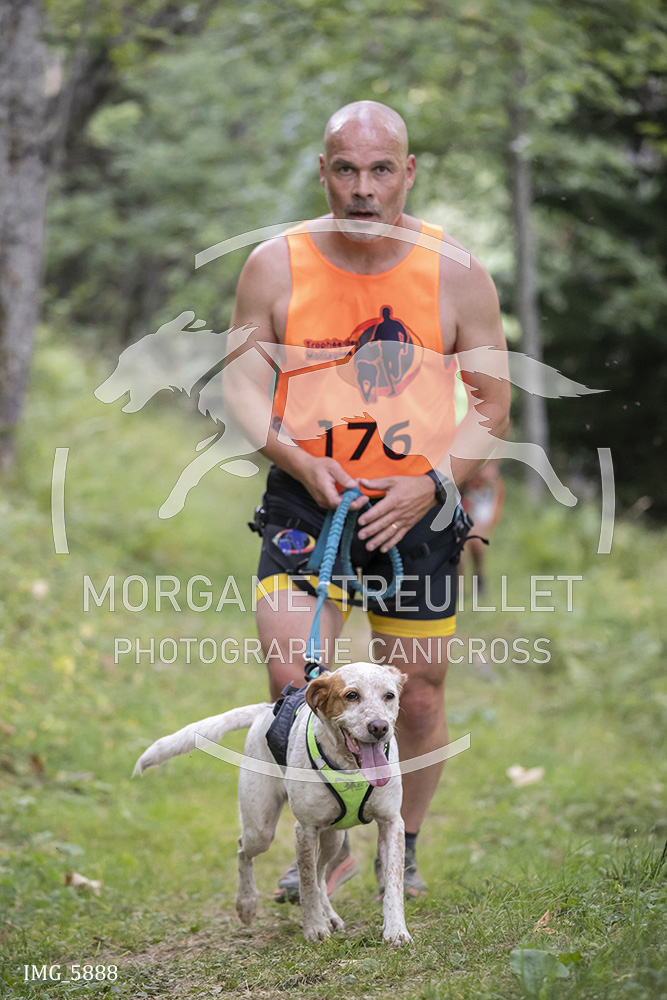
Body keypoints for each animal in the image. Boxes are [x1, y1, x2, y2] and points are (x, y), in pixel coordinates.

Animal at [133, 661, 412, 946]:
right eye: (351, 695)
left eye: (389, 696)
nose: (379, 727)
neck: (349, 767)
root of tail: (266, 710)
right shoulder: (305, 829)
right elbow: (306, 884)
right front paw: (314, 927)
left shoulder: (391, 823)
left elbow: (392, 882)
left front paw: (396, 929)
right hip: (261, 829)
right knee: (245, 850)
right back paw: (247, 903)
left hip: (333, 838)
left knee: (321, 872)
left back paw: (330, 915)